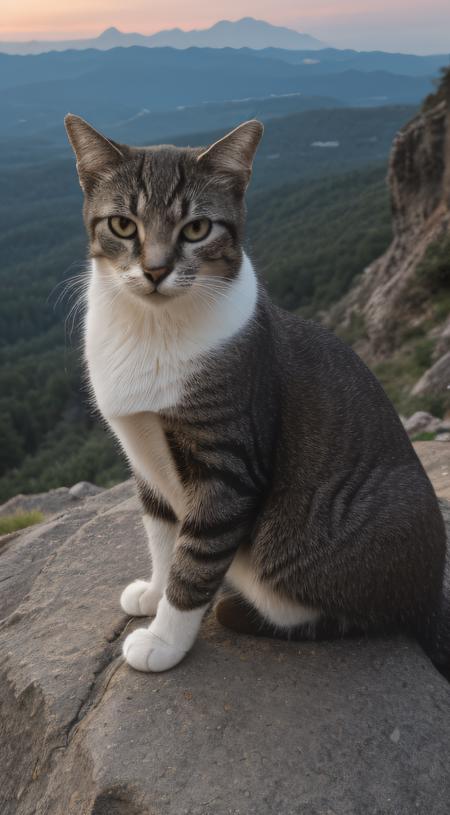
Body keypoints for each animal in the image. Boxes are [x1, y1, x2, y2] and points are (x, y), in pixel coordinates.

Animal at [65, 115, 448, 676]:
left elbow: (195, 559)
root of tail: (431, 591)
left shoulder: (229, 462)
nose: (155, 271)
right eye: (122, 225)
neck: (153, 328)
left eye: (196, 229)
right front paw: (153, 593)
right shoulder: (144, 457)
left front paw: (164, 640)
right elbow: (162, 536)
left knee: (359, 615)